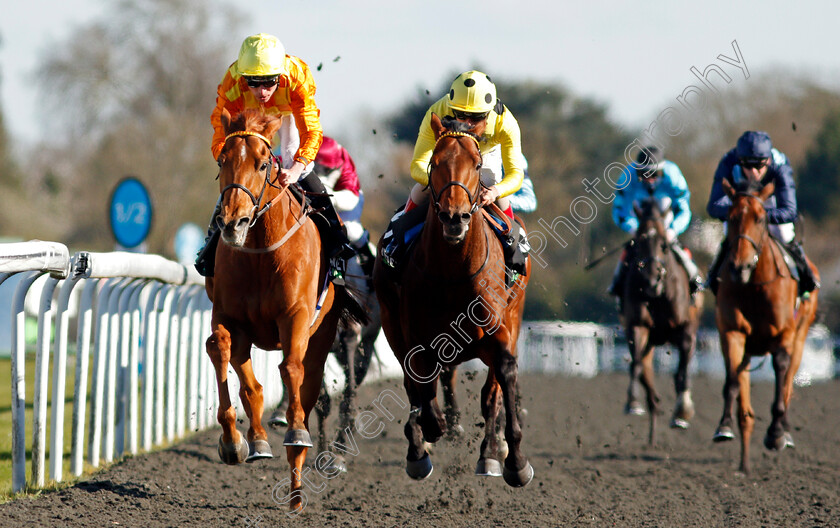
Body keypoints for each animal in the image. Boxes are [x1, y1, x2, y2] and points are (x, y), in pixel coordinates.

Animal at [206, 108, 364, 512]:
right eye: (222, 160)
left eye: (263, 164)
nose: (233, 223)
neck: (261, 250)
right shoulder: (228, 316)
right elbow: (221, 352)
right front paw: (234, 441)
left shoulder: (295, 318)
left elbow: (291, 369)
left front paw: (294, 432)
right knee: (248, 375)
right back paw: (262, 440)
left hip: (322, 338)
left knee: (308, 393)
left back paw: (296, 484)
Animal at [372, 113, 532, 488]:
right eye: (436, 161)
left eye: (477, 164)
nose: (455, 217)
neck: (453, 270)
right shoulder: (415, 335)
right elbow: (421, 383)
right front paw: (427, 435)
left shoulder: (500, 332)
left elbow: (502, 378)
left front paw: (514, 460)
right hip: (390, 320)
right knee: (415, 383)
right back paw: (421, 445)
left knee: (490, 394)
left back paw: (489, 454)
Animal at [616, 198, 704, 446]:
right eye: (638, 242)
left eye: (664, 245)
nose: (651, 280)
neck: (659, 296)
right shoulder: (637, 326)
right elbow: (636, 364)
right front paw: (632, 401)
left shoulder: (685, 331)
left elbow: (682, 374)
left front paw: (682, 412)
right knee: (645, 372)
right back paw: (653, 423)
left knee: (680, 373)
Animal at [712, 178, 816, 474]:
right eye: (731, 217)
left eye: (760, 218)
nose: (741, 266)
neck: (755, 286)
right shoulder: (733, 333)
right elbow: (732, 382)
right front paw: (724, 426)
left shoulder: (784, 336)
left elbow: (781, 379)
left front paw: (776, 433)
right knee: (744, 399)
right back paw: (744, 463)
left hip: (800, 338)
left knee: (789, 382)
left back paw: (784, 431)